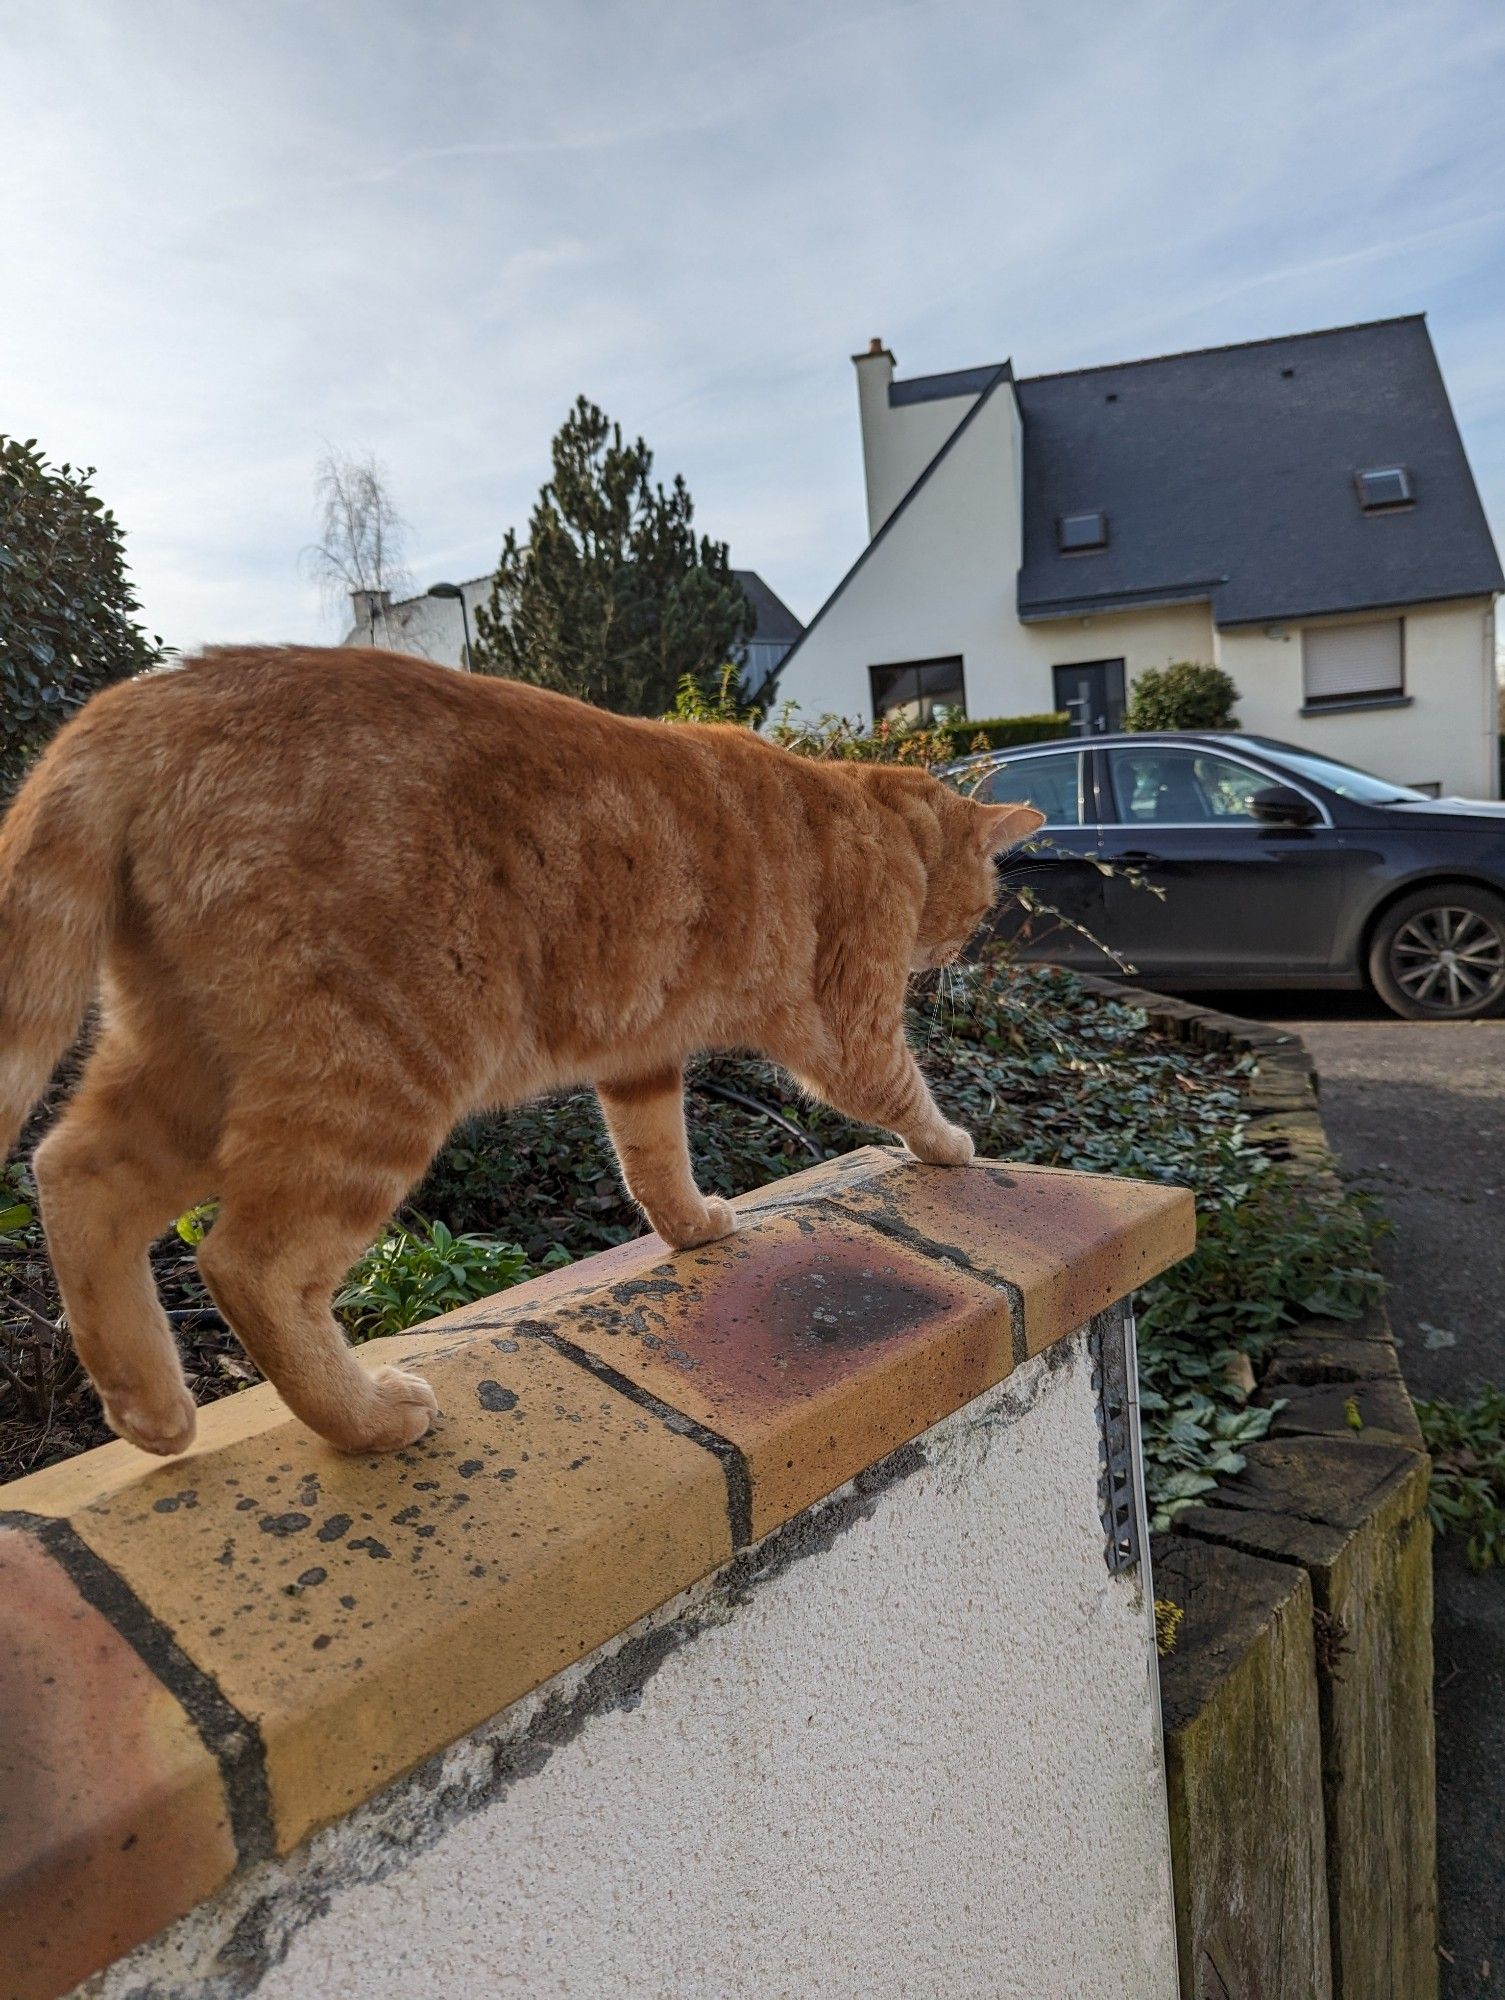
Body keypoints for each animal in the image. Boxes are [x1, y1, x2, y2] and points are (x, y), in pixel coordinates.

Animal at [0, 652, 1040, 1456]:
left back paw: (152, 1414)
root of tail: (148, 699)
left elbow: (653, 1160)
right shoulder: (847, 1028)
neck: (876, 812)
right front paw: (955, 1145)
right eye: (984, 899)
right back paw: (367, 1420)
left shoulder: (640, 1056)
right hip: (369, 1080)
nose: (961, 947)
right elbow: (905, 1093)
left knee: (74, 1173)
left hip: (187, 1068)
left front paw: (693, 1228)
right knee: (249, 1265)